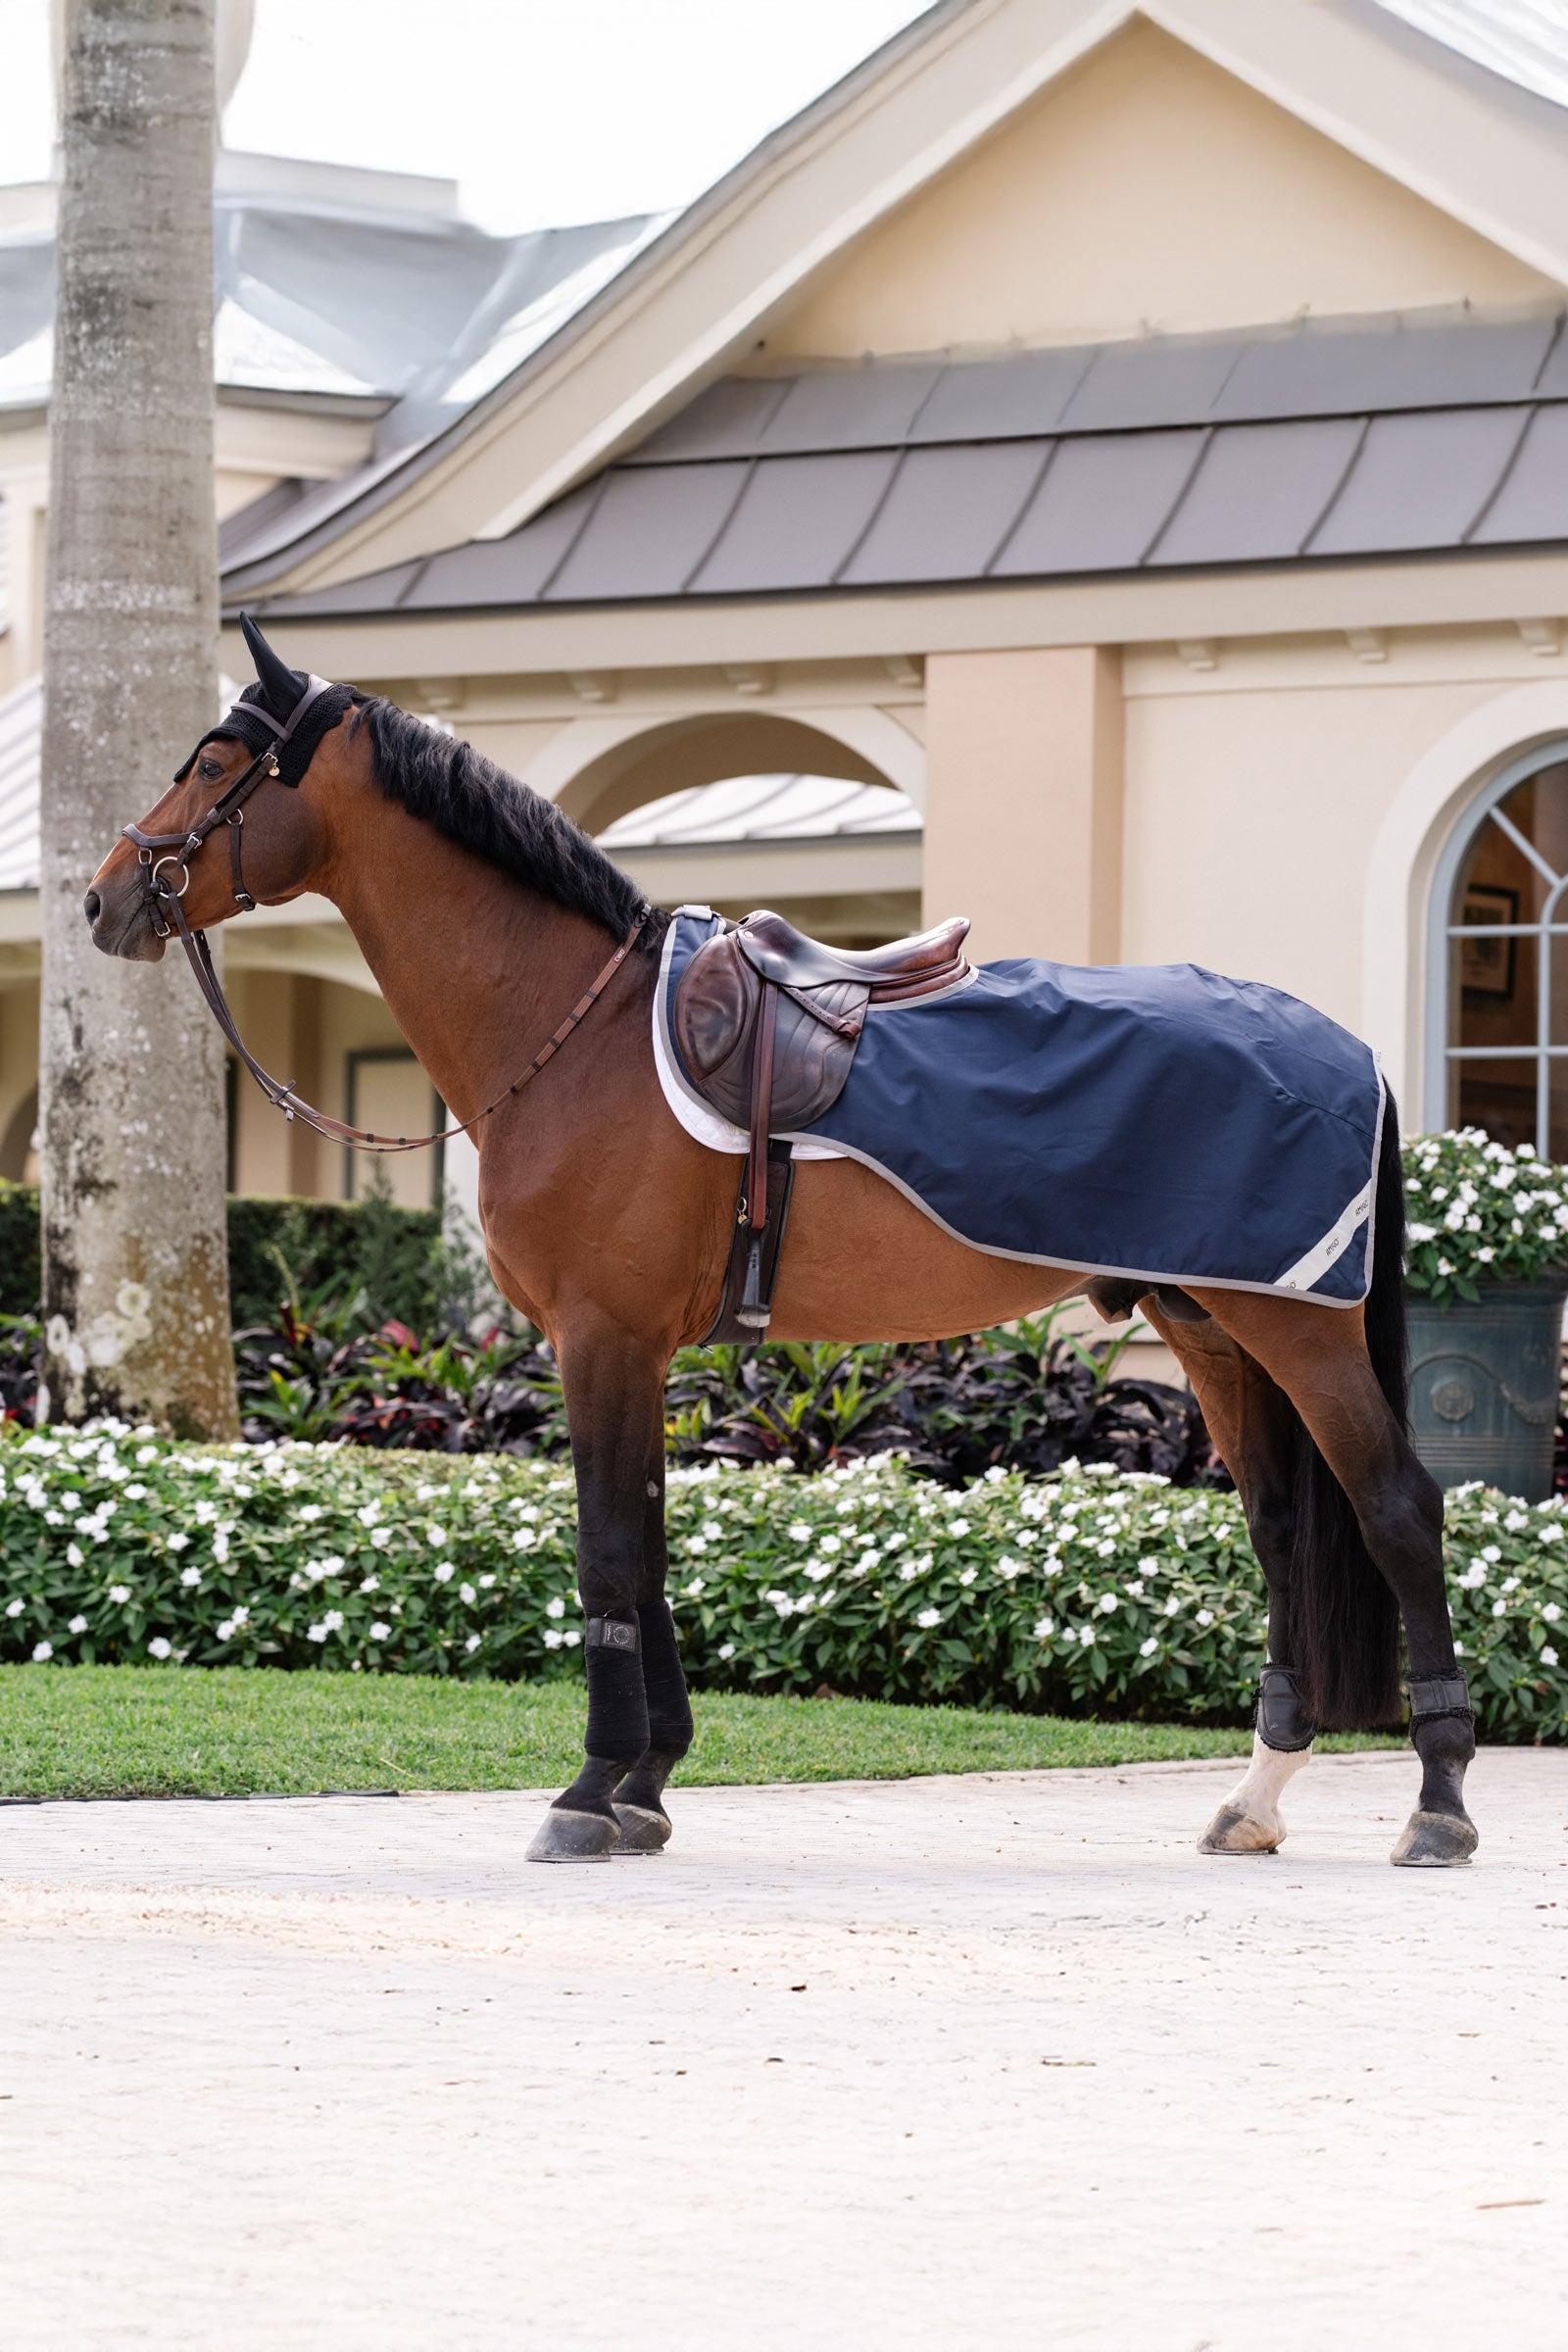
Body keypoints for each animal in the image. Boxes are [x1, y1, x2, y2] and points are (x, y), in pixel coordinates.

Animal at [83, 619, 1478, 1869]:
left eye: (213, 762)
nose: (105, 898)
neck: (572, 1034)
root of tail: (1344, 1046)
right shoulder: (634, 1350)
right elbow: (645, 1545)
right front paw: (645, 1785)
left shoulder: (597, 1338)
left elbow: (605, 1551)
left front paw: (587, 1795)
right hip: (1214, 1330)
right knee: (1285, 1534)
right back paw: (1256, 1800)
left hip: (1297, 1329)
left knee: (1397, 1512)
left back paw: (1439, 1805)